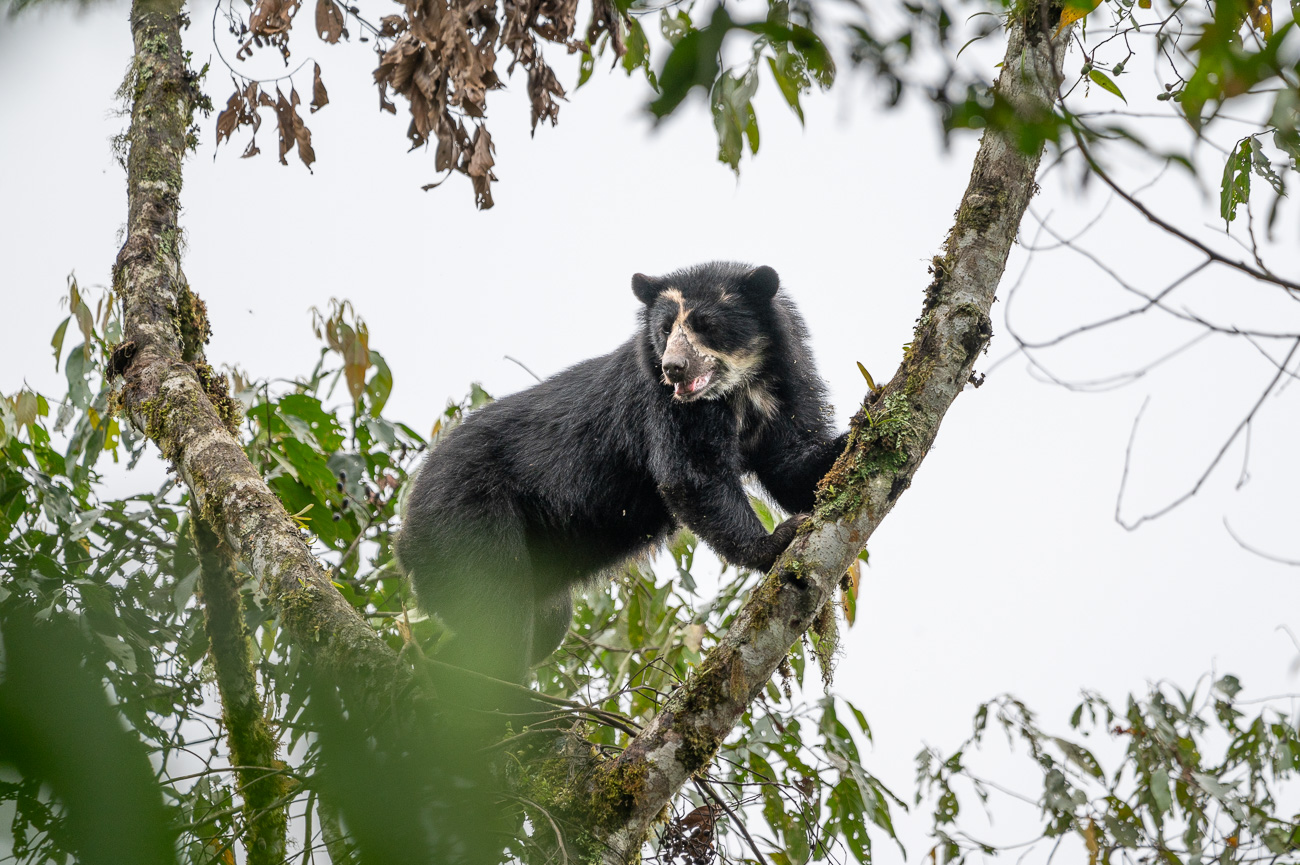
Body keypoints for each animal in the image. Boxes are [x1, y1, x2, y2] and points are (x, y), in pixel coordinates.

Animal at [400, 261, 847, 681]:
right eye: (665, 330)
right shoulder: (661, 405)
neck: (740, 388)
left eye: (706, 325)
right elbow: (692, 475)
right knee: (499, 615)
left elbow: (791, 464)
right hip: (468, 519)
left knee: (536, 627)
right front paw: (775, 541)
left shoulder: (786, 386)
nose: (674, 368)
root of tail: (405, 537)